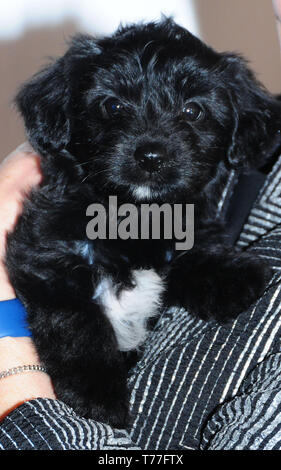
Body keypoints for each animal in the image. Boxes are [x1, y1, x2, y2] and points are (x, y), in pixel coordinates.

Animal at [6, 20, 280, 428]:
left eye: (193, 110)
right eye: (113, 106)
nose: (151, 155)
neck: (135, 213)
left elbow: (190, 250)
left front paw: (231, 276)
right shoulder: (46, 255)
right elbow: (75, 323)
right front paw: (98, 394)